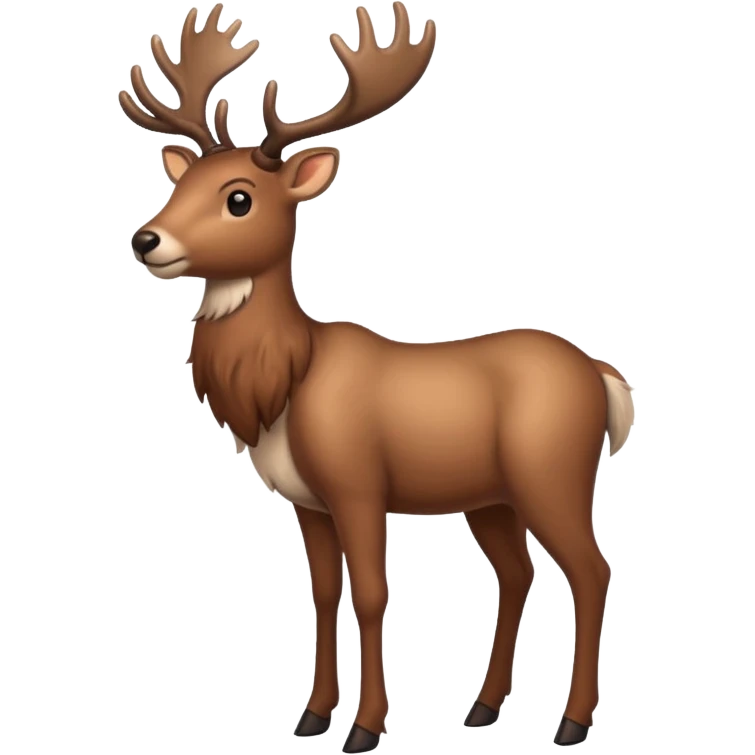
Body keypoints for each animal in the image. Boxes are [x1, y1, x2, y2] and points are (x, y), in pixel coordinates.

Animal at [120, 2, 635, 751]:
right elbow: (323, 592)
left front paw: (364, 727)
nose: (146, 239)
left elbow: (369, 593)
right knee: (517, 574)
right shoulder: (307, 500)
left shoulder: (357, 482)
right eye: (176, 184)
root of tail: (601, 374)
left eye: (239, 197)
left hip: (554, 473)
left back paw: (570, 722)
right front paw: (311, 715)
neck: (285, 383)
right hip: (490, 497)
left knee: (592, 570)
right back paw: (482, 707)